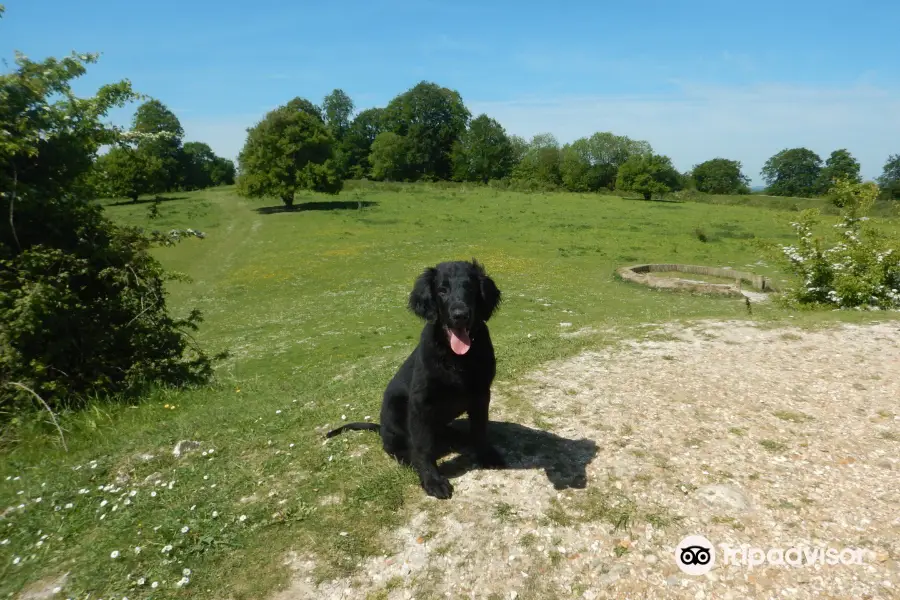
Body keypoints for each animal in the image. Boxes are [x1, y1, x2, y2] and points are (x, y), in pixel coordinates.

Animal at [326, 258, 506, 496]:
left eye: (470, 288)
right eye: (442, 290)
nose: (460, 315)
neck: (456, 357)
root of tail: (381, 428)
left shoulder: (481, 393)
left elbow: (479, 428)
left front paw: (485, 453)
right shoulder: (421, 403)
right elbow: (423, 446)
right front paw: (432, 479)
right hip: (395, 410)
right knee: (397, 447)